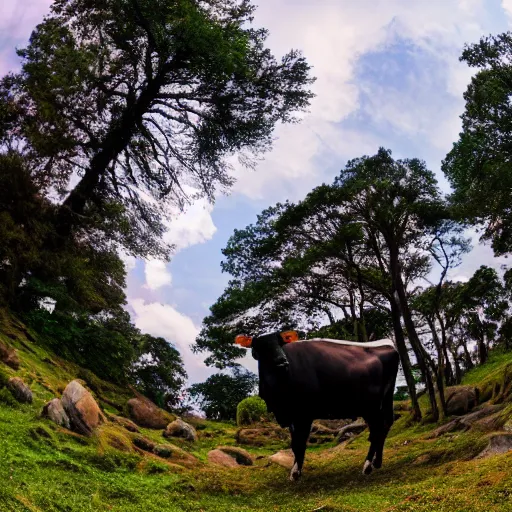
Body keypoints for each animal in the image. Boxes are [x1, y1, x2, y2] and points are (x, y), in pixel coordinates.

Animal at [236, 330, 400, 482]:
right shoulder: (291, 416)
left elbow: (299, 443)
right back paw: (377, 462)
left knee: (377, 430)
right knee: (385, 425)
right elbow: (294, 443)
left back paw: (367, 465)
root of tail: (386, 346)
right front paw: (295, 470)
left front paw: (295, 473)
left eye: (280, 343)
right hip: (384, 401)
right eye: (260, 346)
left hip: (371, 406)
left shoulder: (304, 414)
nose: (282, 361)